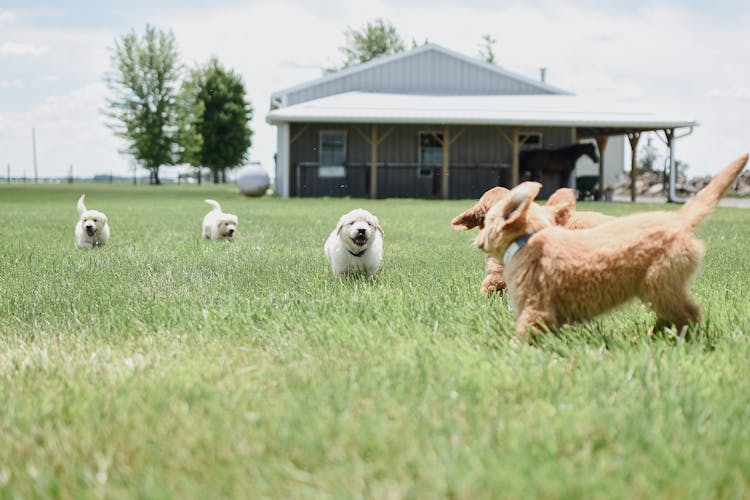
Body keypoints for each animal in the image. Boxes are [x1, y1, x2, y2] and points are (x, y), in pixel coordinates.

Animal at [478, 154, 748, 338]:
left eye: (488, 221)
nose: (478, 241)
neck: (530, 239)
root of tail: (678, 220)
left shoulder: (536, 308)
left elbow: (523, 334)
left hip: (659, 283)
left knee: (688, 314)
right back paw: (653, 335)